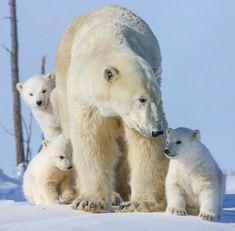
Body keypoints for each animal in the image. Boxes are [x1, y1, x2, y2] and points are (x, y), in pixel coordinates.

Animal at [55, 4, 169, 213]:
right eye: (141, 99)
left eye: (157, 99)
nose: (156, 131)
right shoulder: (88, 101)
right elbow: (93, 140)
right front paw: (90, 202)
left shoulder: (137, 120)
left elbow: (145, 146)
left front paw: (139, 203)